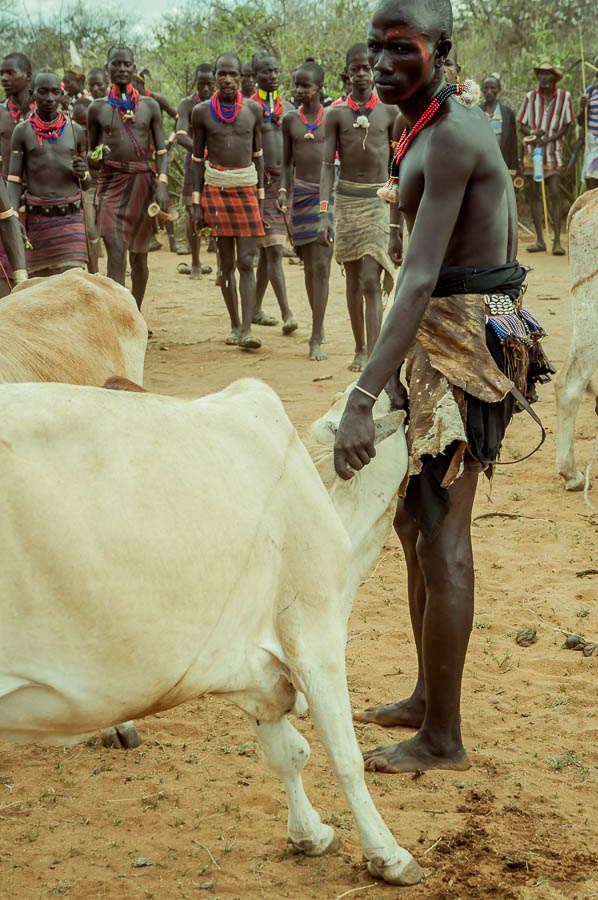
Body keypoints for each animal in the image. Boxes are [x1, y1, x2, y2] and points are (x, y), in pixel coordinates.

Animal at [0, 374, 424, 884]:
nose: (399, 385)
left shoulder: (255, 665)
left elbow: (286, 753)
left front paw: (309, 835)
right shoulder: (313, 634)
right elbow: (345, 757)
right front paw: (388, 854)